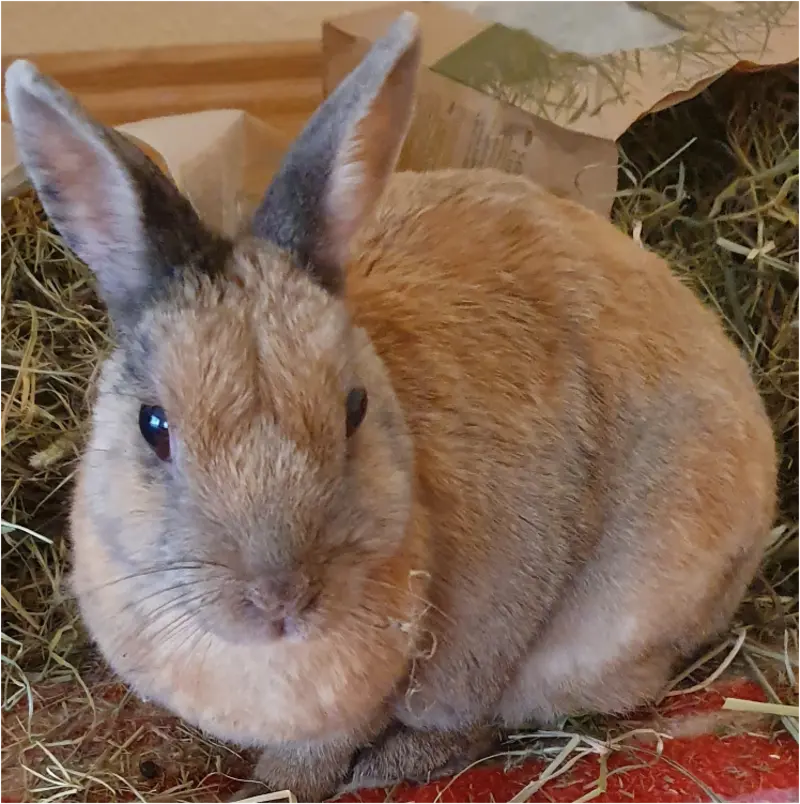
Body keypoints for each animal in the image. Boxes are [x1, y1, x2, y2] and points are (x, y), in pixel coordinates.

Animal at [5, 10, 778, 804]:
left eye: (354, 408)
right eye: (152, 426)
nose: (281, 597)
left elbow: (323, 754)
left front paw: (277, 787)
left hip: (587, 638)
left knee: (494, 719)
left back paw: (387, 768)